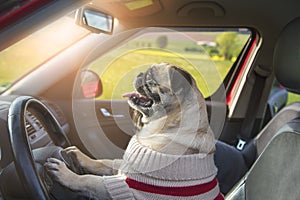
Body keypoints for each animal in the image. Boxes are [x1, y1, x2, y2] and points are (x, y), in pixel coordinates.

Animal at [45, 63, 223, 200]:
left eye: (150, 78)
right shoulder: (126, 166)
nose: (140, 73)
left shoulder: (125, 187)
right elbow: (103, 163)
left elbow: (89, 180)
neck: (167, 127)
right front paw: (79, 156)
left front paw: (65, 174)